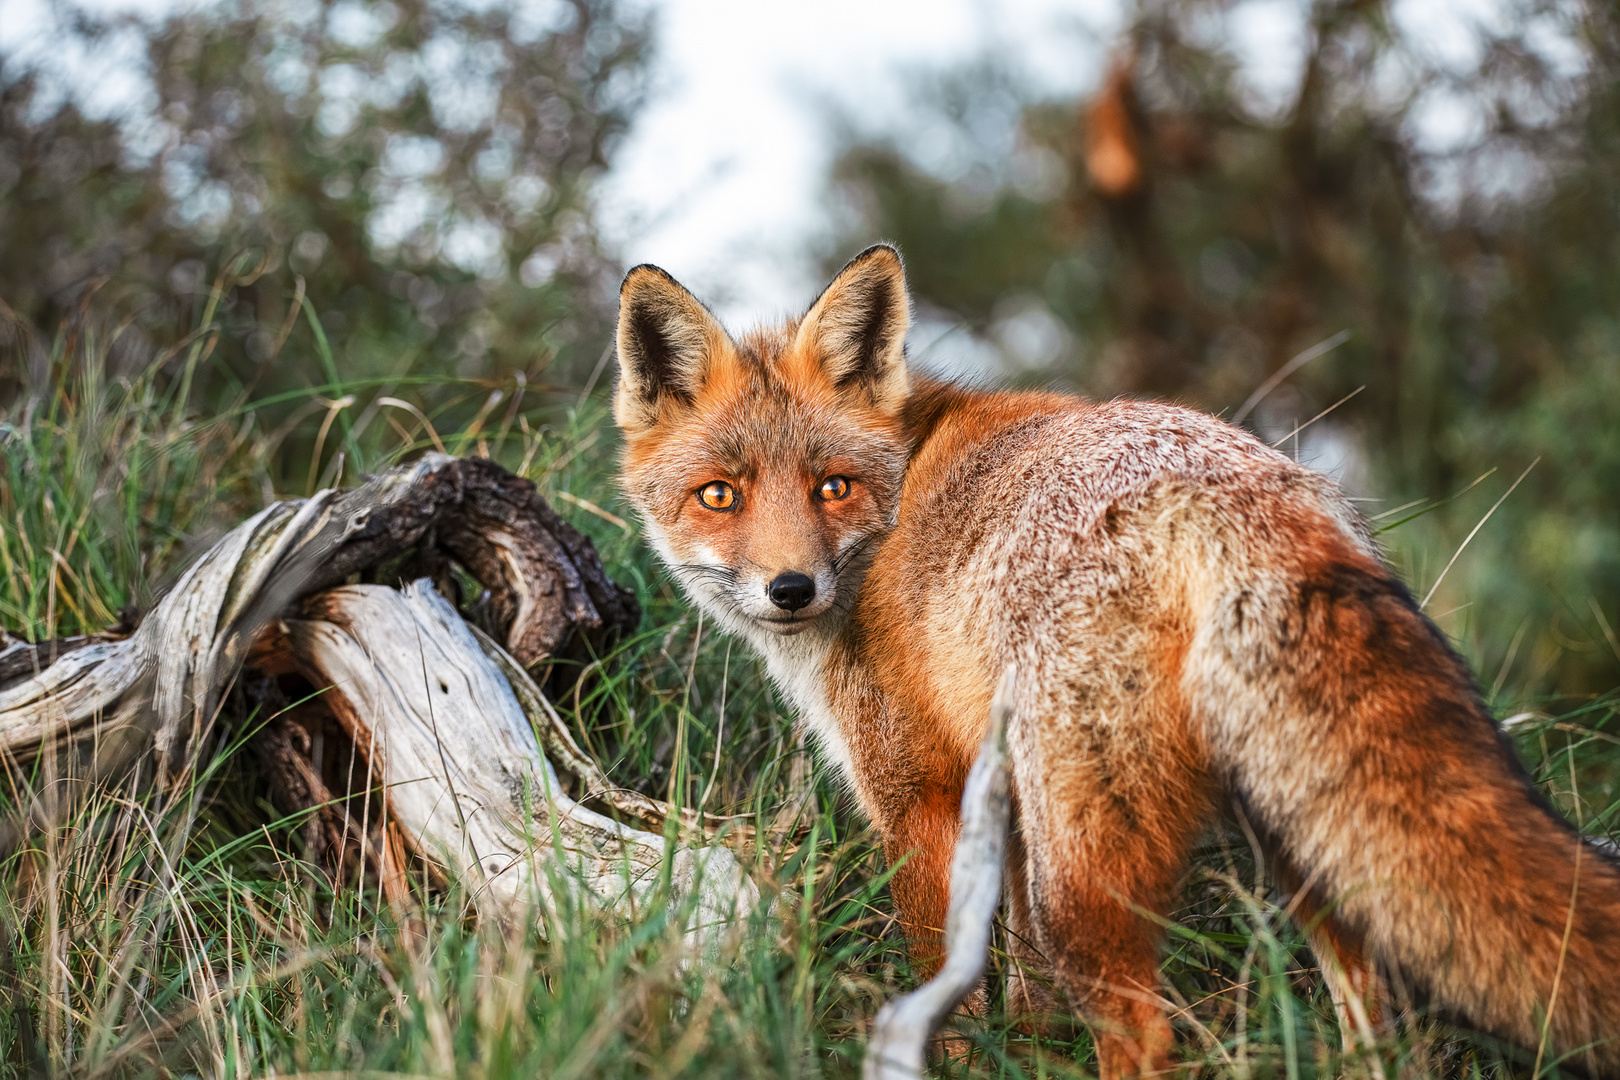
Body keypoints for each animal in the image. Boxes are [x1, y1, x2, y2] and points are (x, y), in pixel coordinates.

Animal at [609, 244, 1620, 1080]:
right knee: (1381, 1024)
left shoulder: (919, 801)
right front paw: (1024, 1056)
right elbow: (1022, 996)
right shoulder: (1000, 810)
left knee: (1143, 1033)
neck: (900, 497)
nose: (791, 589)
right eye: (719, 496)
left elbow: (946, 991)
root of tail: (1231, 490)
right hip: (1298, 839)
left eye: (834, 488)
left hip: (1086, 872)